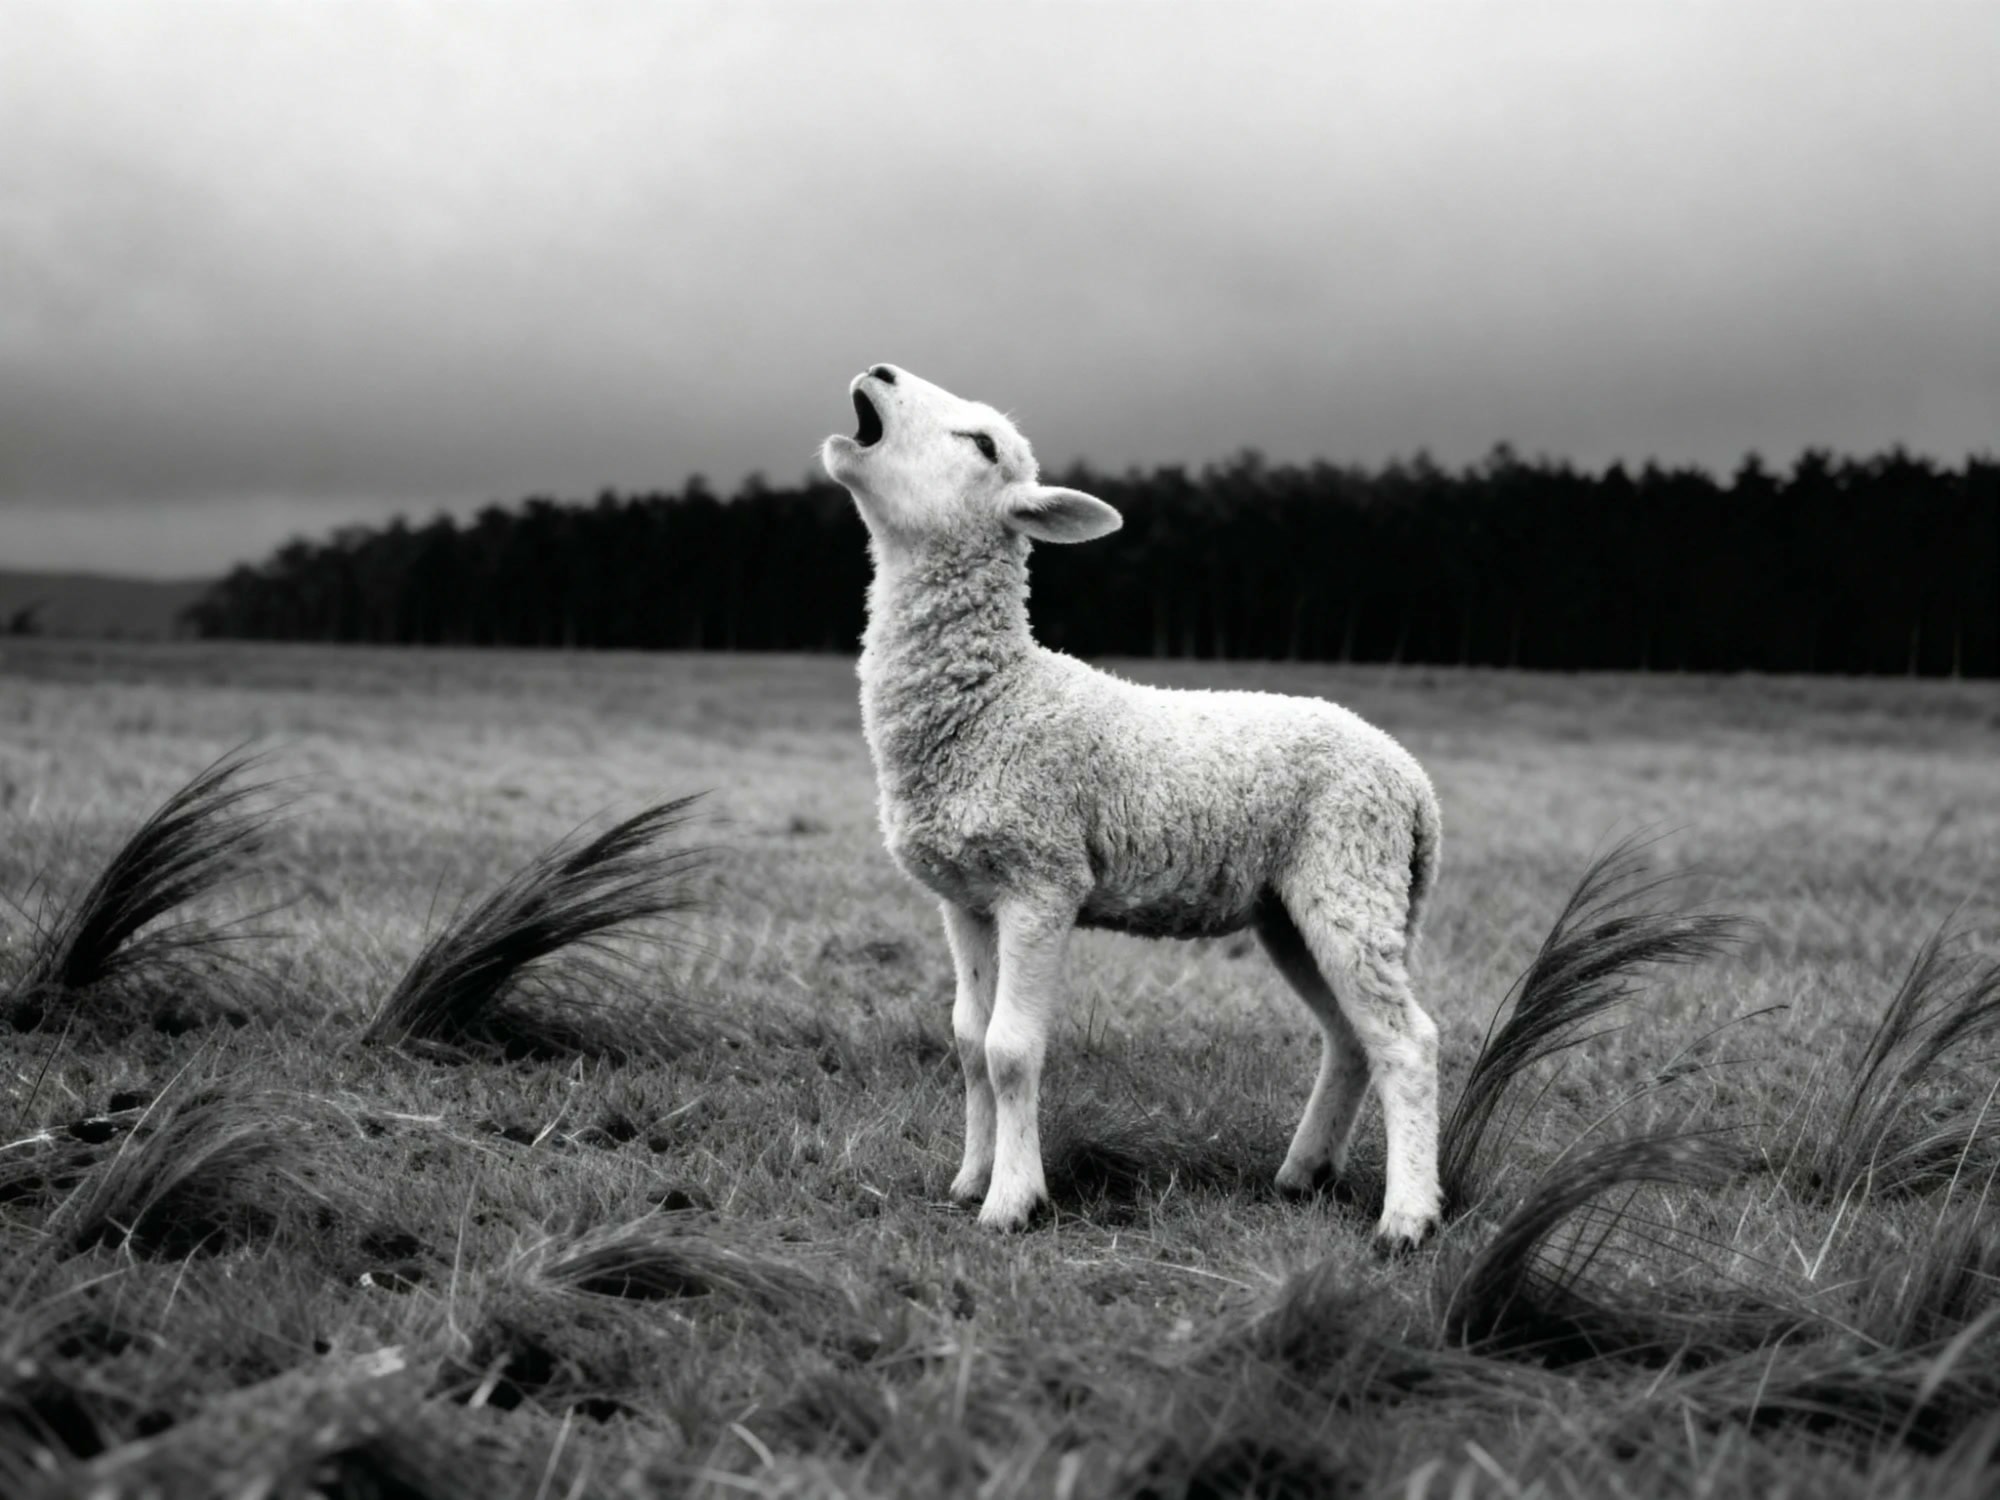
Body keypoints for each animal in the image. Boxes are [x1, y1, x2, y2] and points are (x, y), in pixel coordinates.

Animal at [821, 363, 1445, 1248]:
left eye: (983, 445)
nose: (881, 371)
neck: (995, 697)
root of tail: (1411, 780)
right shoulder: (965, 898)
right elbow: (969, 1043)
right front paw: (969, 1179)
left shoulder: (1042, 880)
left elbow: (1012, 1049)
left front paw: (1013, 1201)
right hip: (1296, 908)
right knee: (1351, 1038)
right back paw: (1303, 1173)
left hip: (1350, 874)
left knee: (1407, 1041)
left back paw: (1407, 1217)